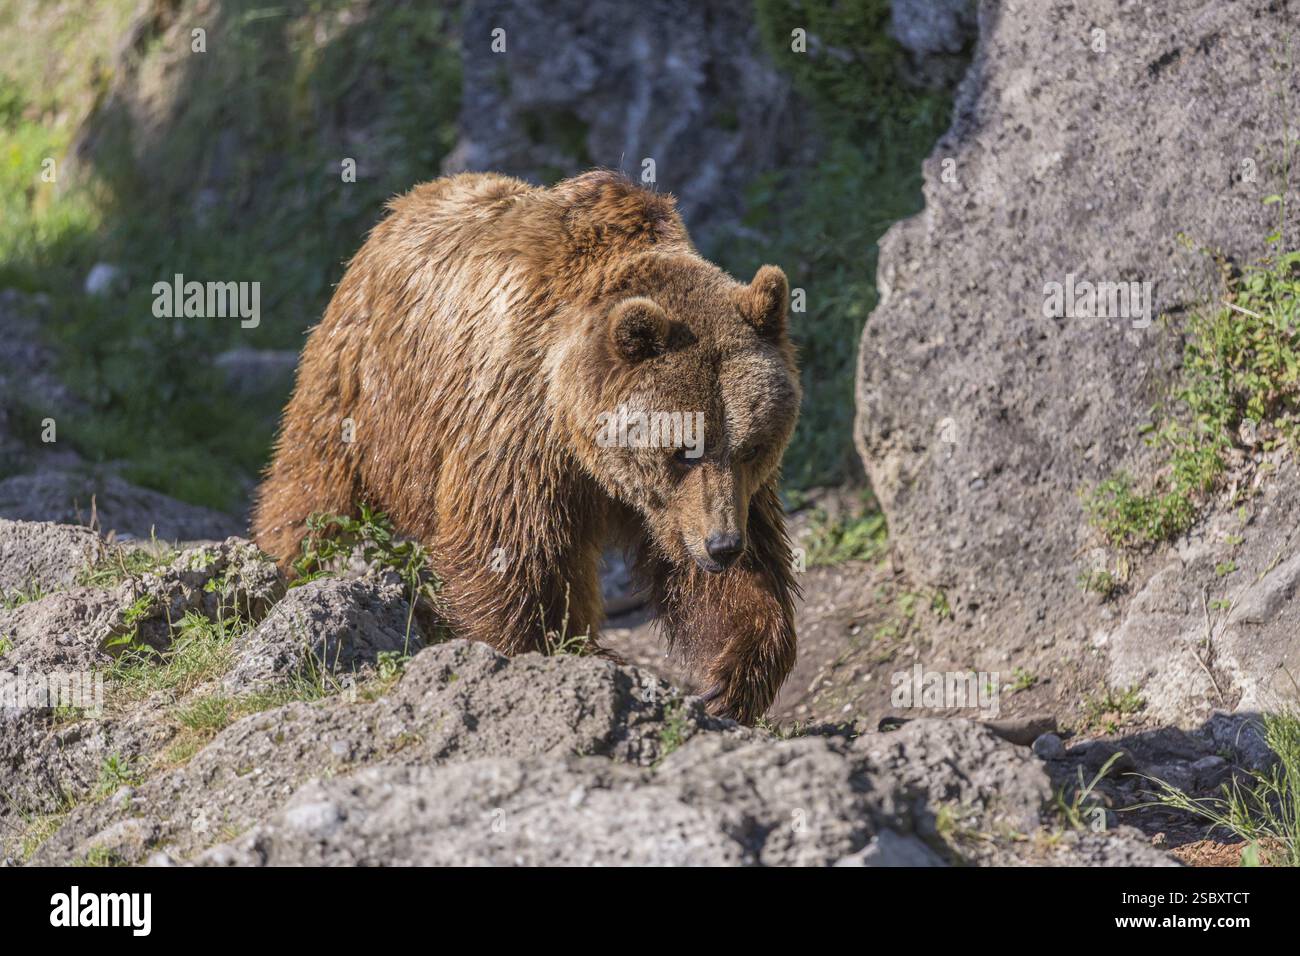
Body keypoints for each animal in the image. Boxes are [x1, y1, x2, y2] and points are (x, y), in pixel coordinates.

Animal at [251, 170, 801, 723]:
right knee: (315, 488)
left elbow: (745, 567)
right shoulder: (519, 429)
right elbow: (510, 555)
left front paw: (730, 679)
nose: (722, 545)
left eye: (754, 447)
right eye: (683, 449)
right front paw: (561, 655)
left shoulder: (699, 502)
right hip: (363, 385)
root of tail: (405, 202)